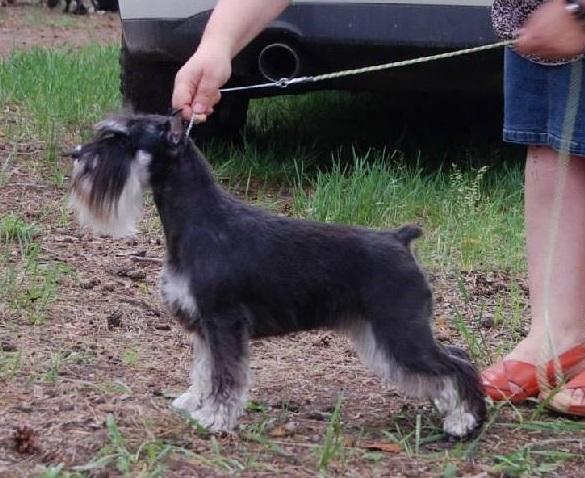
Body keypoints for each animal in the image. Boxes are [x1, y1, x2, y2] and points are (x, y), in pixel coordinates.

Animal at [69, 112, 486, 438]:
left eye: (120, 138)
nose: (76, 155)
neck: (200, 219)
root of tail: (400, 239)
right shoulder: (204, 326)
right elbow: (204, 370)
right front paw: (193, 403)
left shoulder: (223, 322)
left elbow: (226, 377)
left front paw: (215, 419)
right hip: (385, 334)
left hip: (400, 331)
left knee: (458, 364)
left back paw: (464, 422)